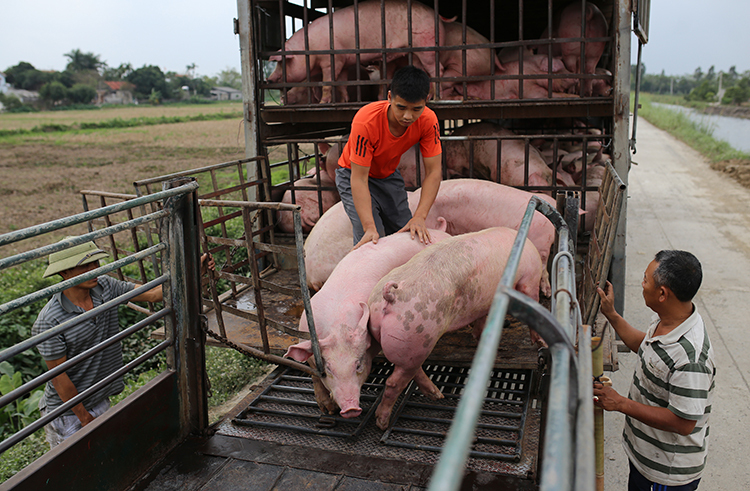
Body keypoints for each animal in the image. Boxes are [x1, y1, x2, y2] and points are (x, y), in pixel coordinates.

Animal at [288, 225, 452, 418]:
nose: (351, 409)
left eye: (358, 364)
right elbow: (313, 375)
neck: (338, 327)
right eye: (328, 369)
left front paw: (438, 396)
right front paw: (328, 410)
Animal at [368, 228, 544, 430]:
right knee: (393, 382)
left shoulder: (484, 303)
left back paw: (437, 394)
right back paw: (382, 423)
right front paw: (540, 342)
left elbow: (481, 321)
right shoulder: (530, 276)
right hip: (416, 334)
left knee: (412, 370)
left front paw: (480, 336)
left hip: (410, 345)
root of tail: (391, 295)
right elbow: (532, 300)